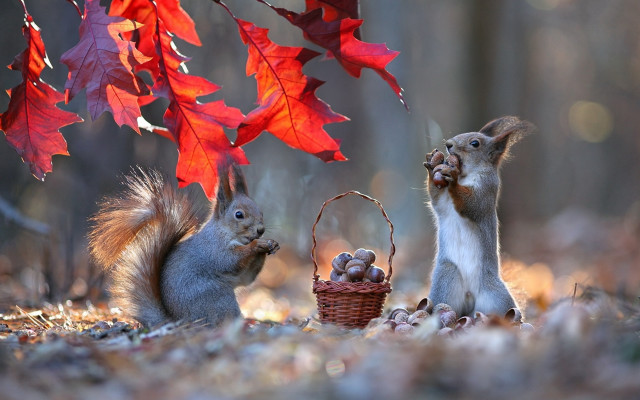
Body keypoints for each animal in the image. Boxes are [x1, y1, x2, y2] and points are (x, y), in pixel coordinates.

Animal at [88, 161, 279, 328]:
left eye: (261, 211)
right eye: (239, 214)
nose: (261, 230)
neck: (226, 233)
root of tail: (178, 321)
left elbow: (247, 277)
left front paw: (271, 244)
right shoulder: (213, 249)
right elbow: (230, 260)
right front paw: (257, 245)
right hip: (217, 299)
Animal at [423, 116, 534, 318]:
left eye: (475, 143)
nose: (448, 144)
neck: (465, 176)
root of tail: (469, 298)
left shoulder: (487, 190)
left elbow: (472, 204)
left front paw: (452, 177)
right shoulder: (443, 203)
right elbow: (437, 198)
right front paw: (432, 165)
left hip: (496, 296)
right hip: (446, 280)